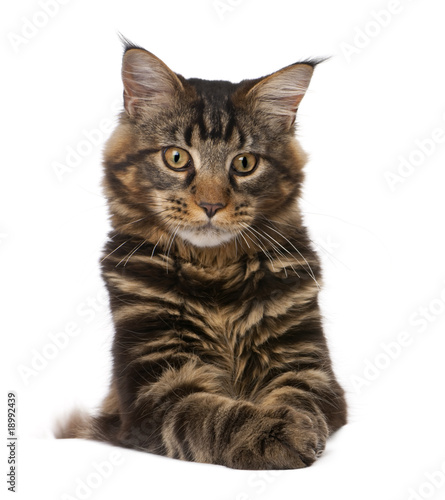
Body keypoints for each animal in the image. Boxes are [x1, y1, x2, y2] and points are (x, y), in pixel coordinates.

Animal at [56, 39, 346, 468]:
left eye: (244, 163)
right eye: (176, 158)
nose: (211, 205)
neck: (215, 271)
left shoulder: (307, 366)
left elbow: (298, 397)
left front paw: (296, 425)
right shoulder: (156, 387)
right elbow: (211, 415)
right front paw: (272, 431)